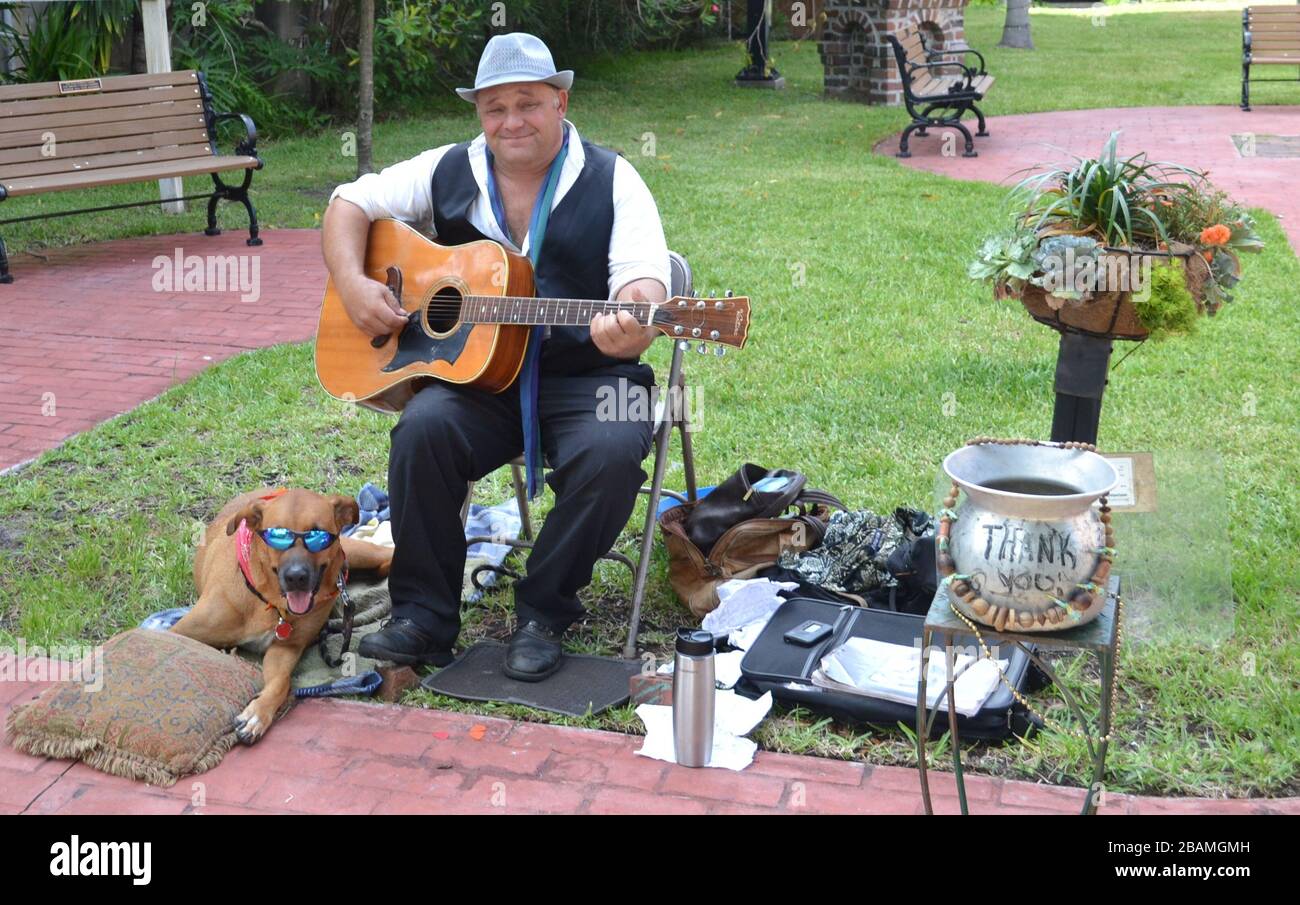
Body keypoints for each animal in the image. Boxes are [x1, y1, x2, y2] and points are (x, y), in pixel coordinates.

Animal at [175, 488, 392, 743]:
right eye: (278, 537)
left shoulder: (287, 648)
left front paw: (257, 714)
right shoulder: (179, 632)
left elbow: (282, 682)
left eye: (317, 536)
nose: (296, 577)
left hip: (359, 553)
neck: (270, 602)